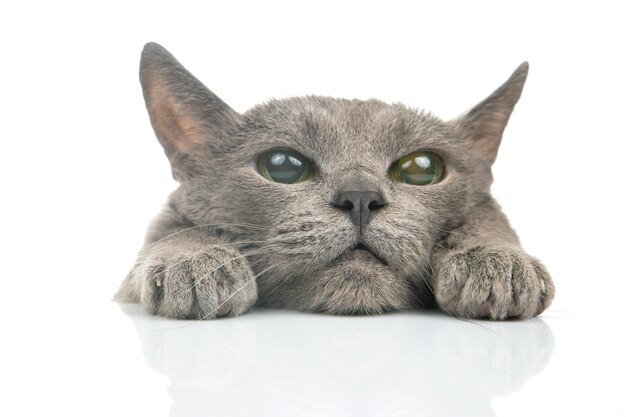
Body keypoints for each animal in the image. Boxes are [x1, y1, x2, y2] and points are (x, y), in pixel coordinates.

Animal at [114, 42, 552, 320]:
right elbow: (172, 230)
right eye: (283, 165)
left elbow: (489, 219)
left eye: (421, 168)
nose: (360, 197)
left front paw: (496, 263)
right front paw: (195, 262)